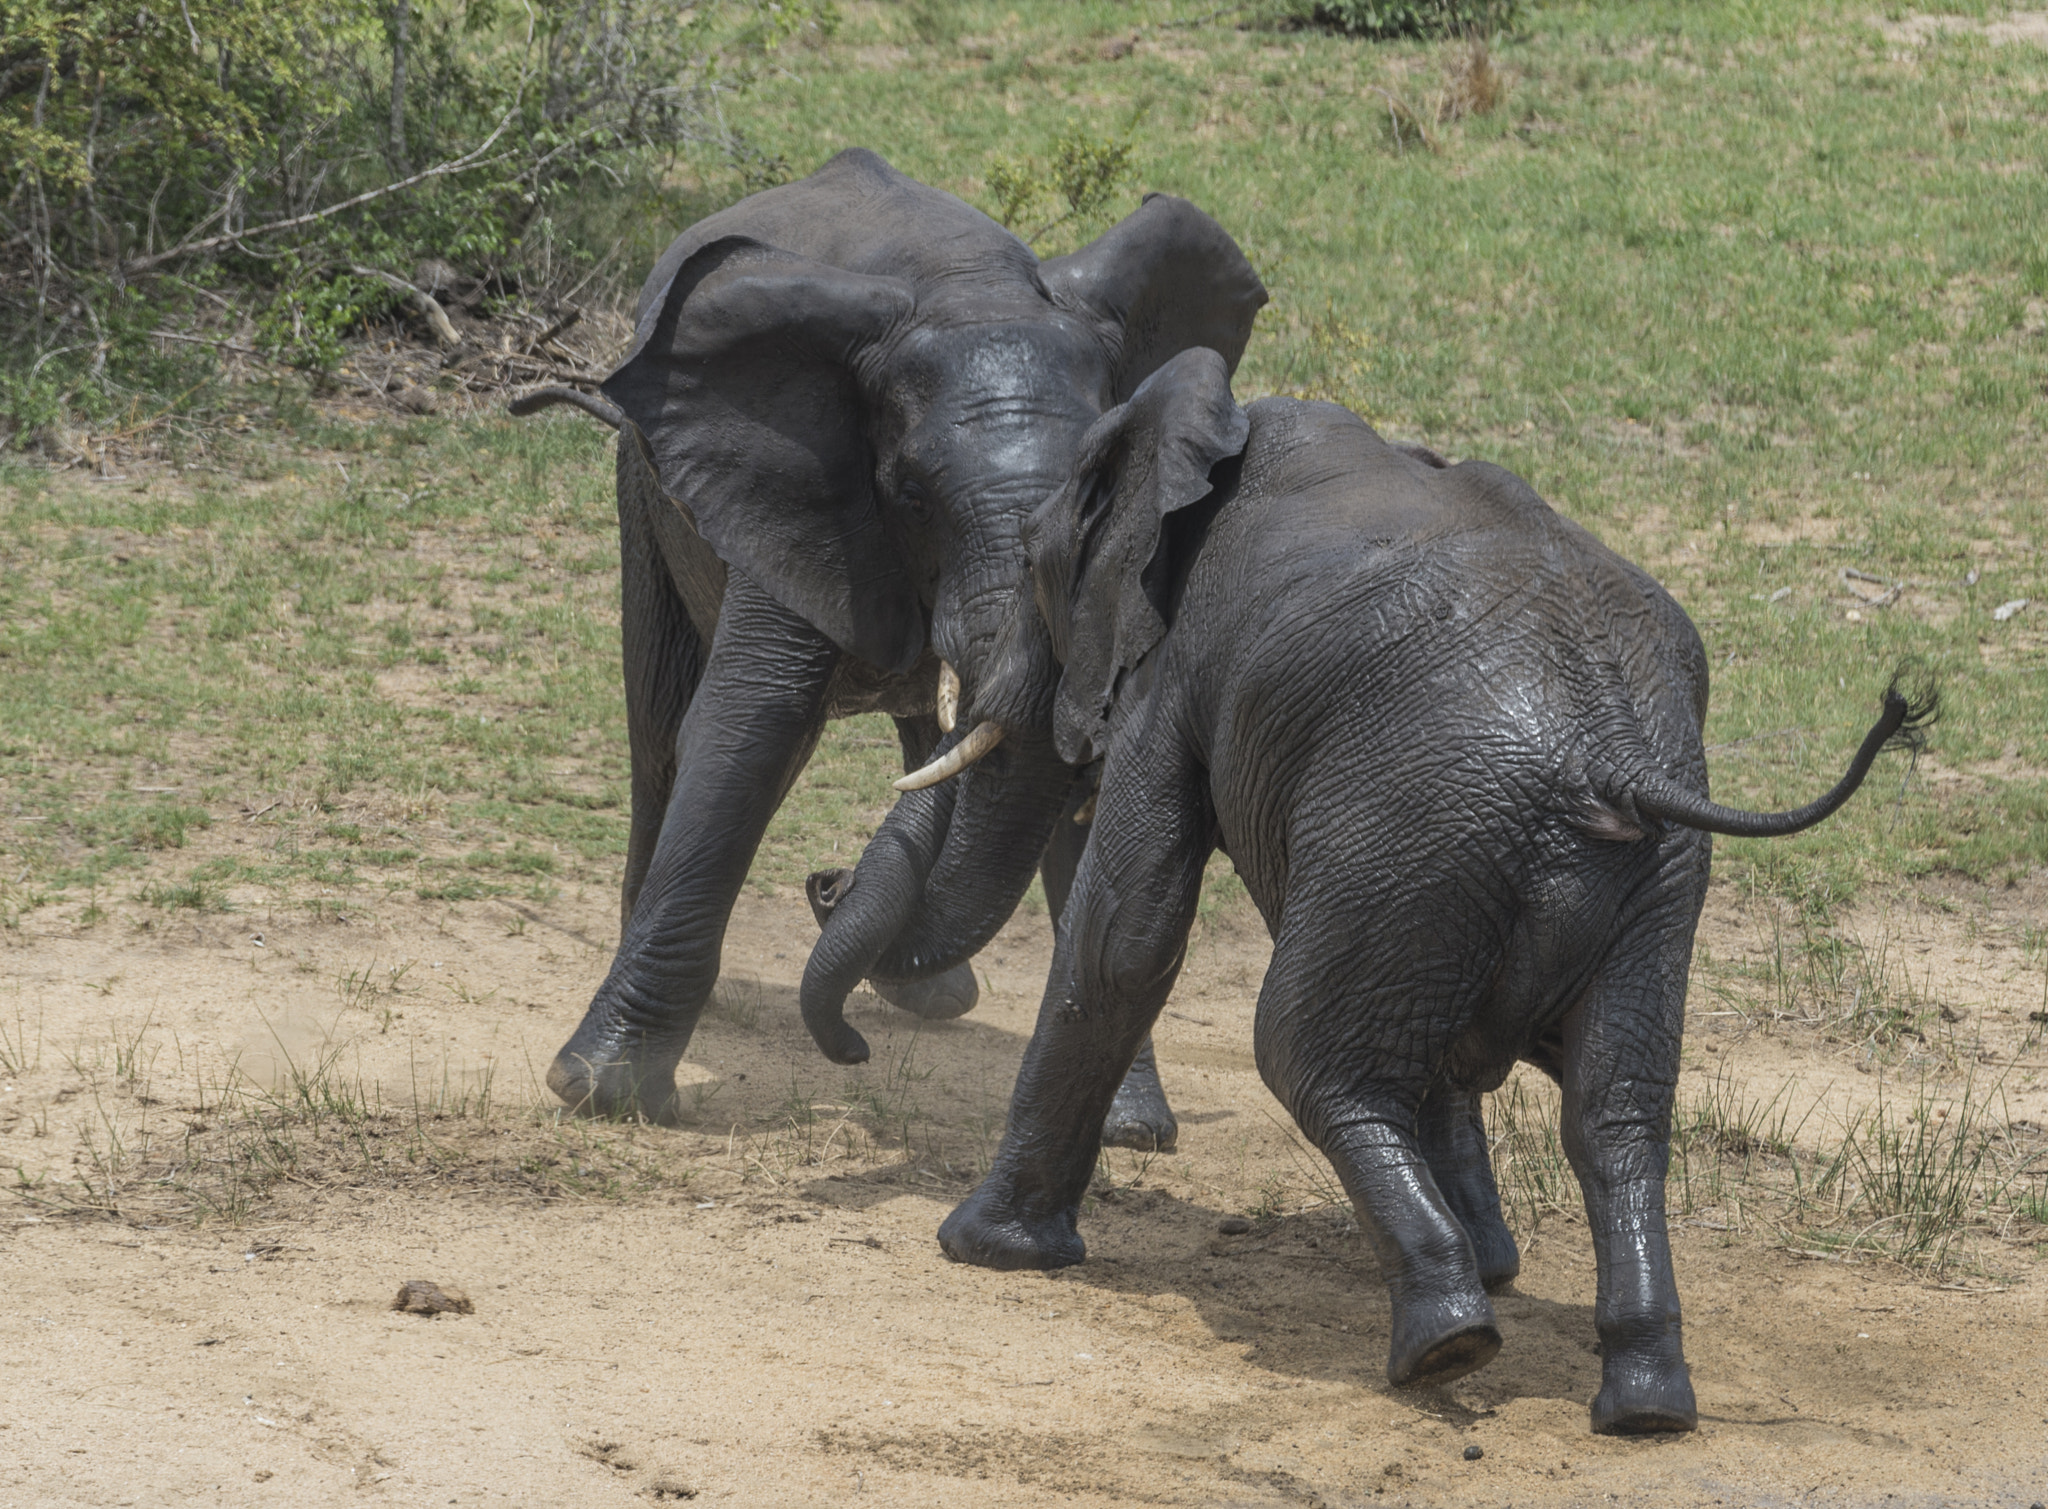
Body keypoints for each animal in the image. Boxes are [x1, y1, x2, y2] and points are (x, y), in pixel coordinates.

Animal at [509, 149, 1266, 1127]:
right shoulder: (795, 481)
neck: (962, 282)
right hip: (646, 487)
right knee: (665, 722)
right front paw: (604, 1092)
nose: (826, 882)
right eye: (910, 496)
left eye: (1095, 497)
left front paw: (1130, 1128)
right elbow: (753, 723)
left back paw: (934, 998)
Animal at [925, 348, 1936, 1435]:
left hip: (1429, 821)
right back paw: (1641, 1402)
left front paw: (981, 1250)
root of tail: (1608, 754)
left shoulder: (1176, 667)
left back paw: (1446, 1343)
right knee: (1612, 1110)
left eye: (1035, 564)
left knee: (1307, 1054)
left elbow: (1126, 935)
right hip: (1584, 871)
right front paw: (1500, 1262)